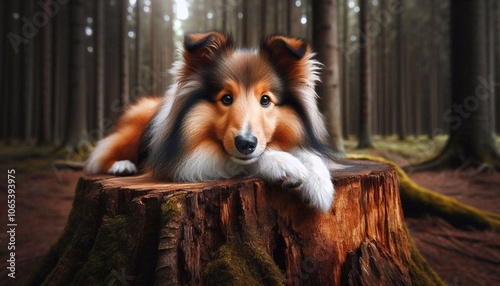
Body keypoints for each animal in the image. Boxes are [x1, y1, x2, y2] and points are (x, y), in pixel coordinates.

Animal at [86, 32, 336, 213]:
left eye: (265, 100)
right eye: (226, 98)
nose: (246, 144)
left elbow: (309, 155)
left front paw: (319, 183)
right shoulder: (189, 163)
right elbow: (246, 162)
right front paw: (283, 164)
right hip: (132, 130)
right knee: (102, 155)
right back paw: (122, 166)